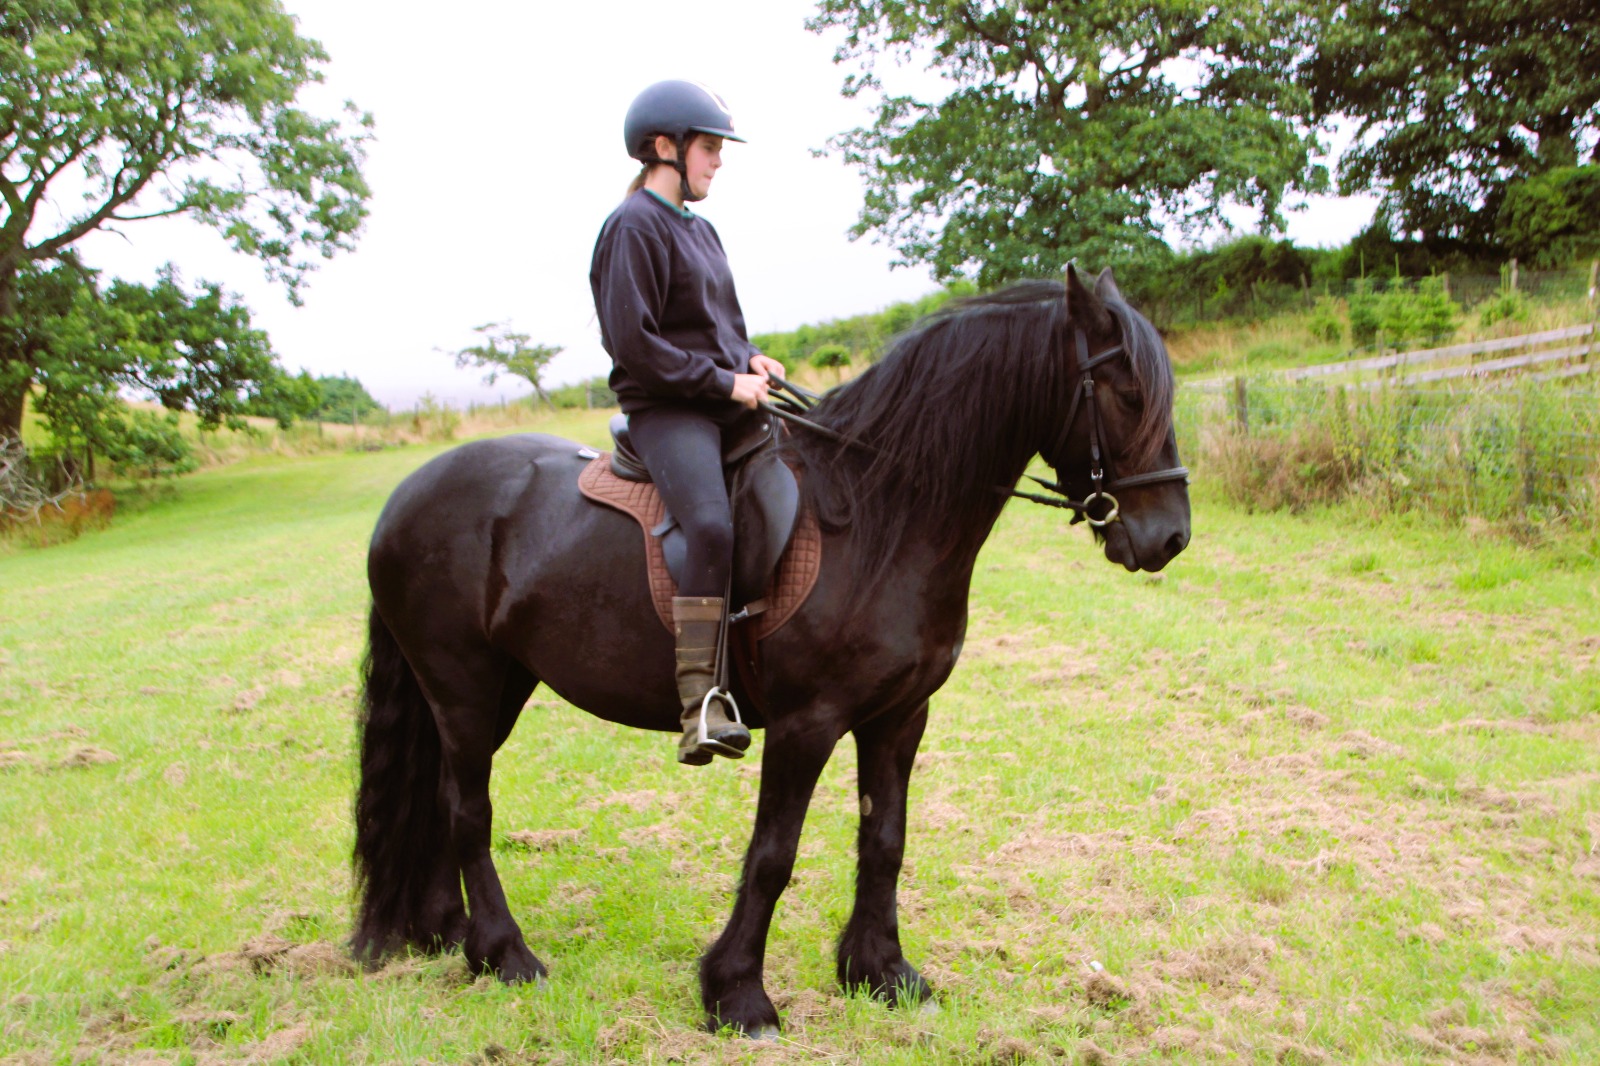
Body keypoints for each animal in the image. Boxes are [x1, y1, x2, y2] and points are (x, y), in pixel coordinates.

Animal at [352, 265, 1191, 1036]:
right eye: (1125, 392)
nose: (1170, 537)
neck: (882, 515)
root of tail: (405, 497)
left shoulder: (899, 716)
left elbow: (884, 839)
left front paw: (882, 973)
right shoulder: (806, 723)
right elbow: (773, 855)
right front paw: (738, 996)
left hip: (497, 685)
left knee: (442, 798)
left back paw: (448, 934)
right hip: (461, 683)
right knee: (469, 809)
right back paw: (506, 954)